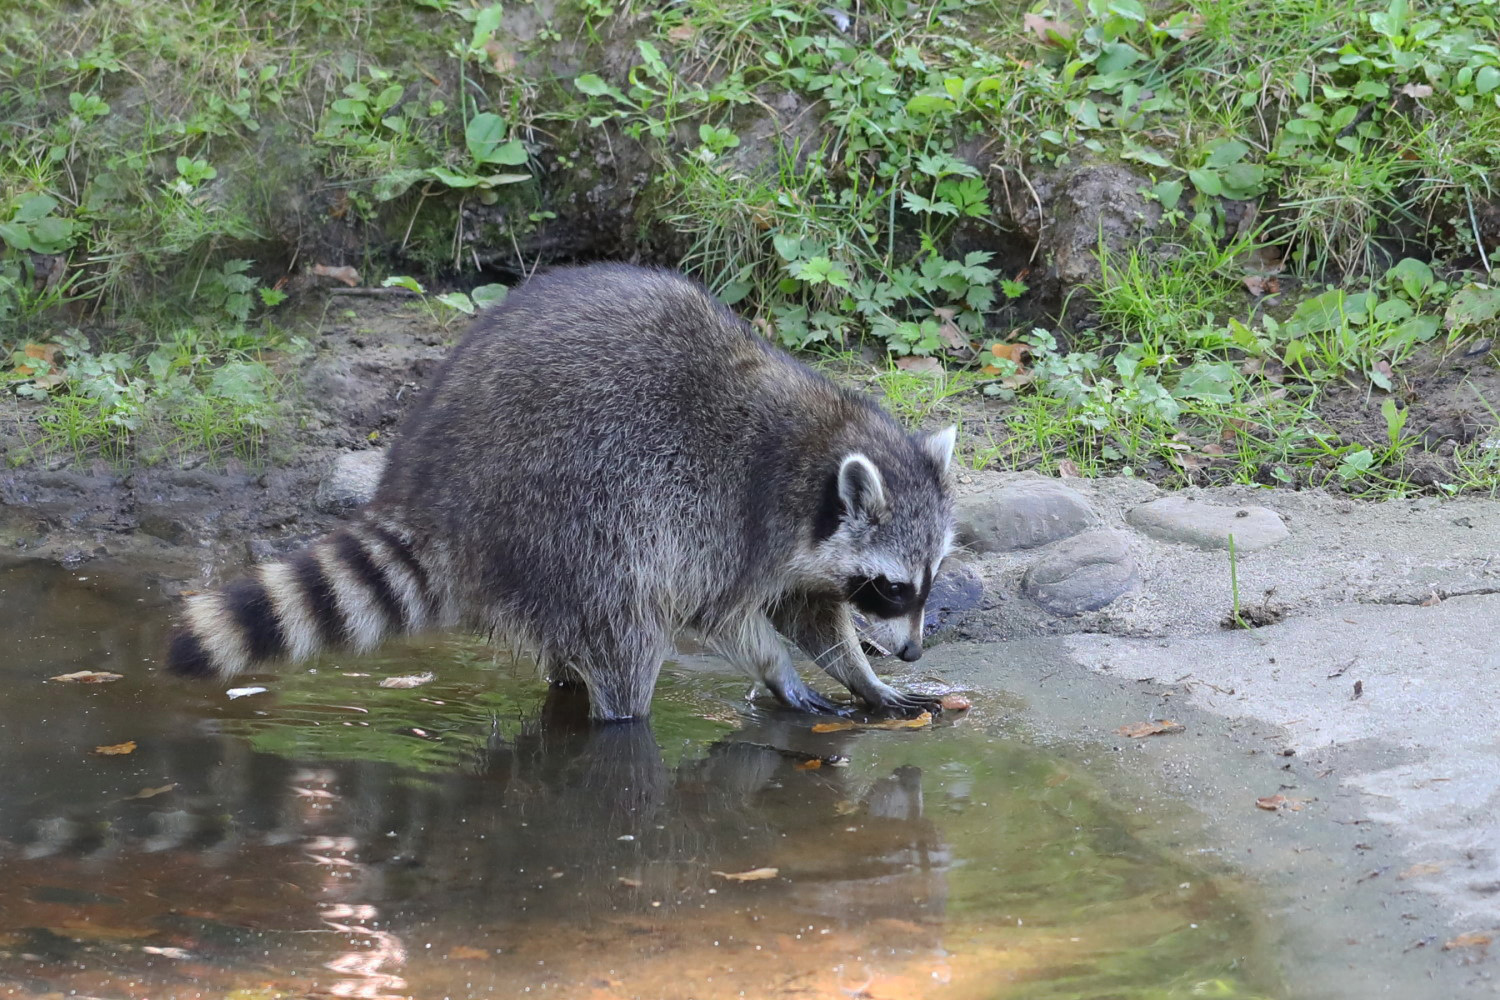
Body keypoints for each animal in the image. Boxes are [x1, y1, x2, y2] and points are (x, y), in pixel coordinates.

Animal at [167, 263, 960, 719]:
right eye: (891, 588)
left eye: (926, 584)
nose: (914, 652)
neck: (822, 448)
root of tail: (428, 491)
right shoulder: (739, 520)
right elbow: (724, 615)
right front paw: (781, 671)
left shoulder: (804, 548)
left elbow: (813, 614)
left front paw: (863, 676)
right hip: (573, 512)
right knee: (629, 625)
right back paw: (620, 717)